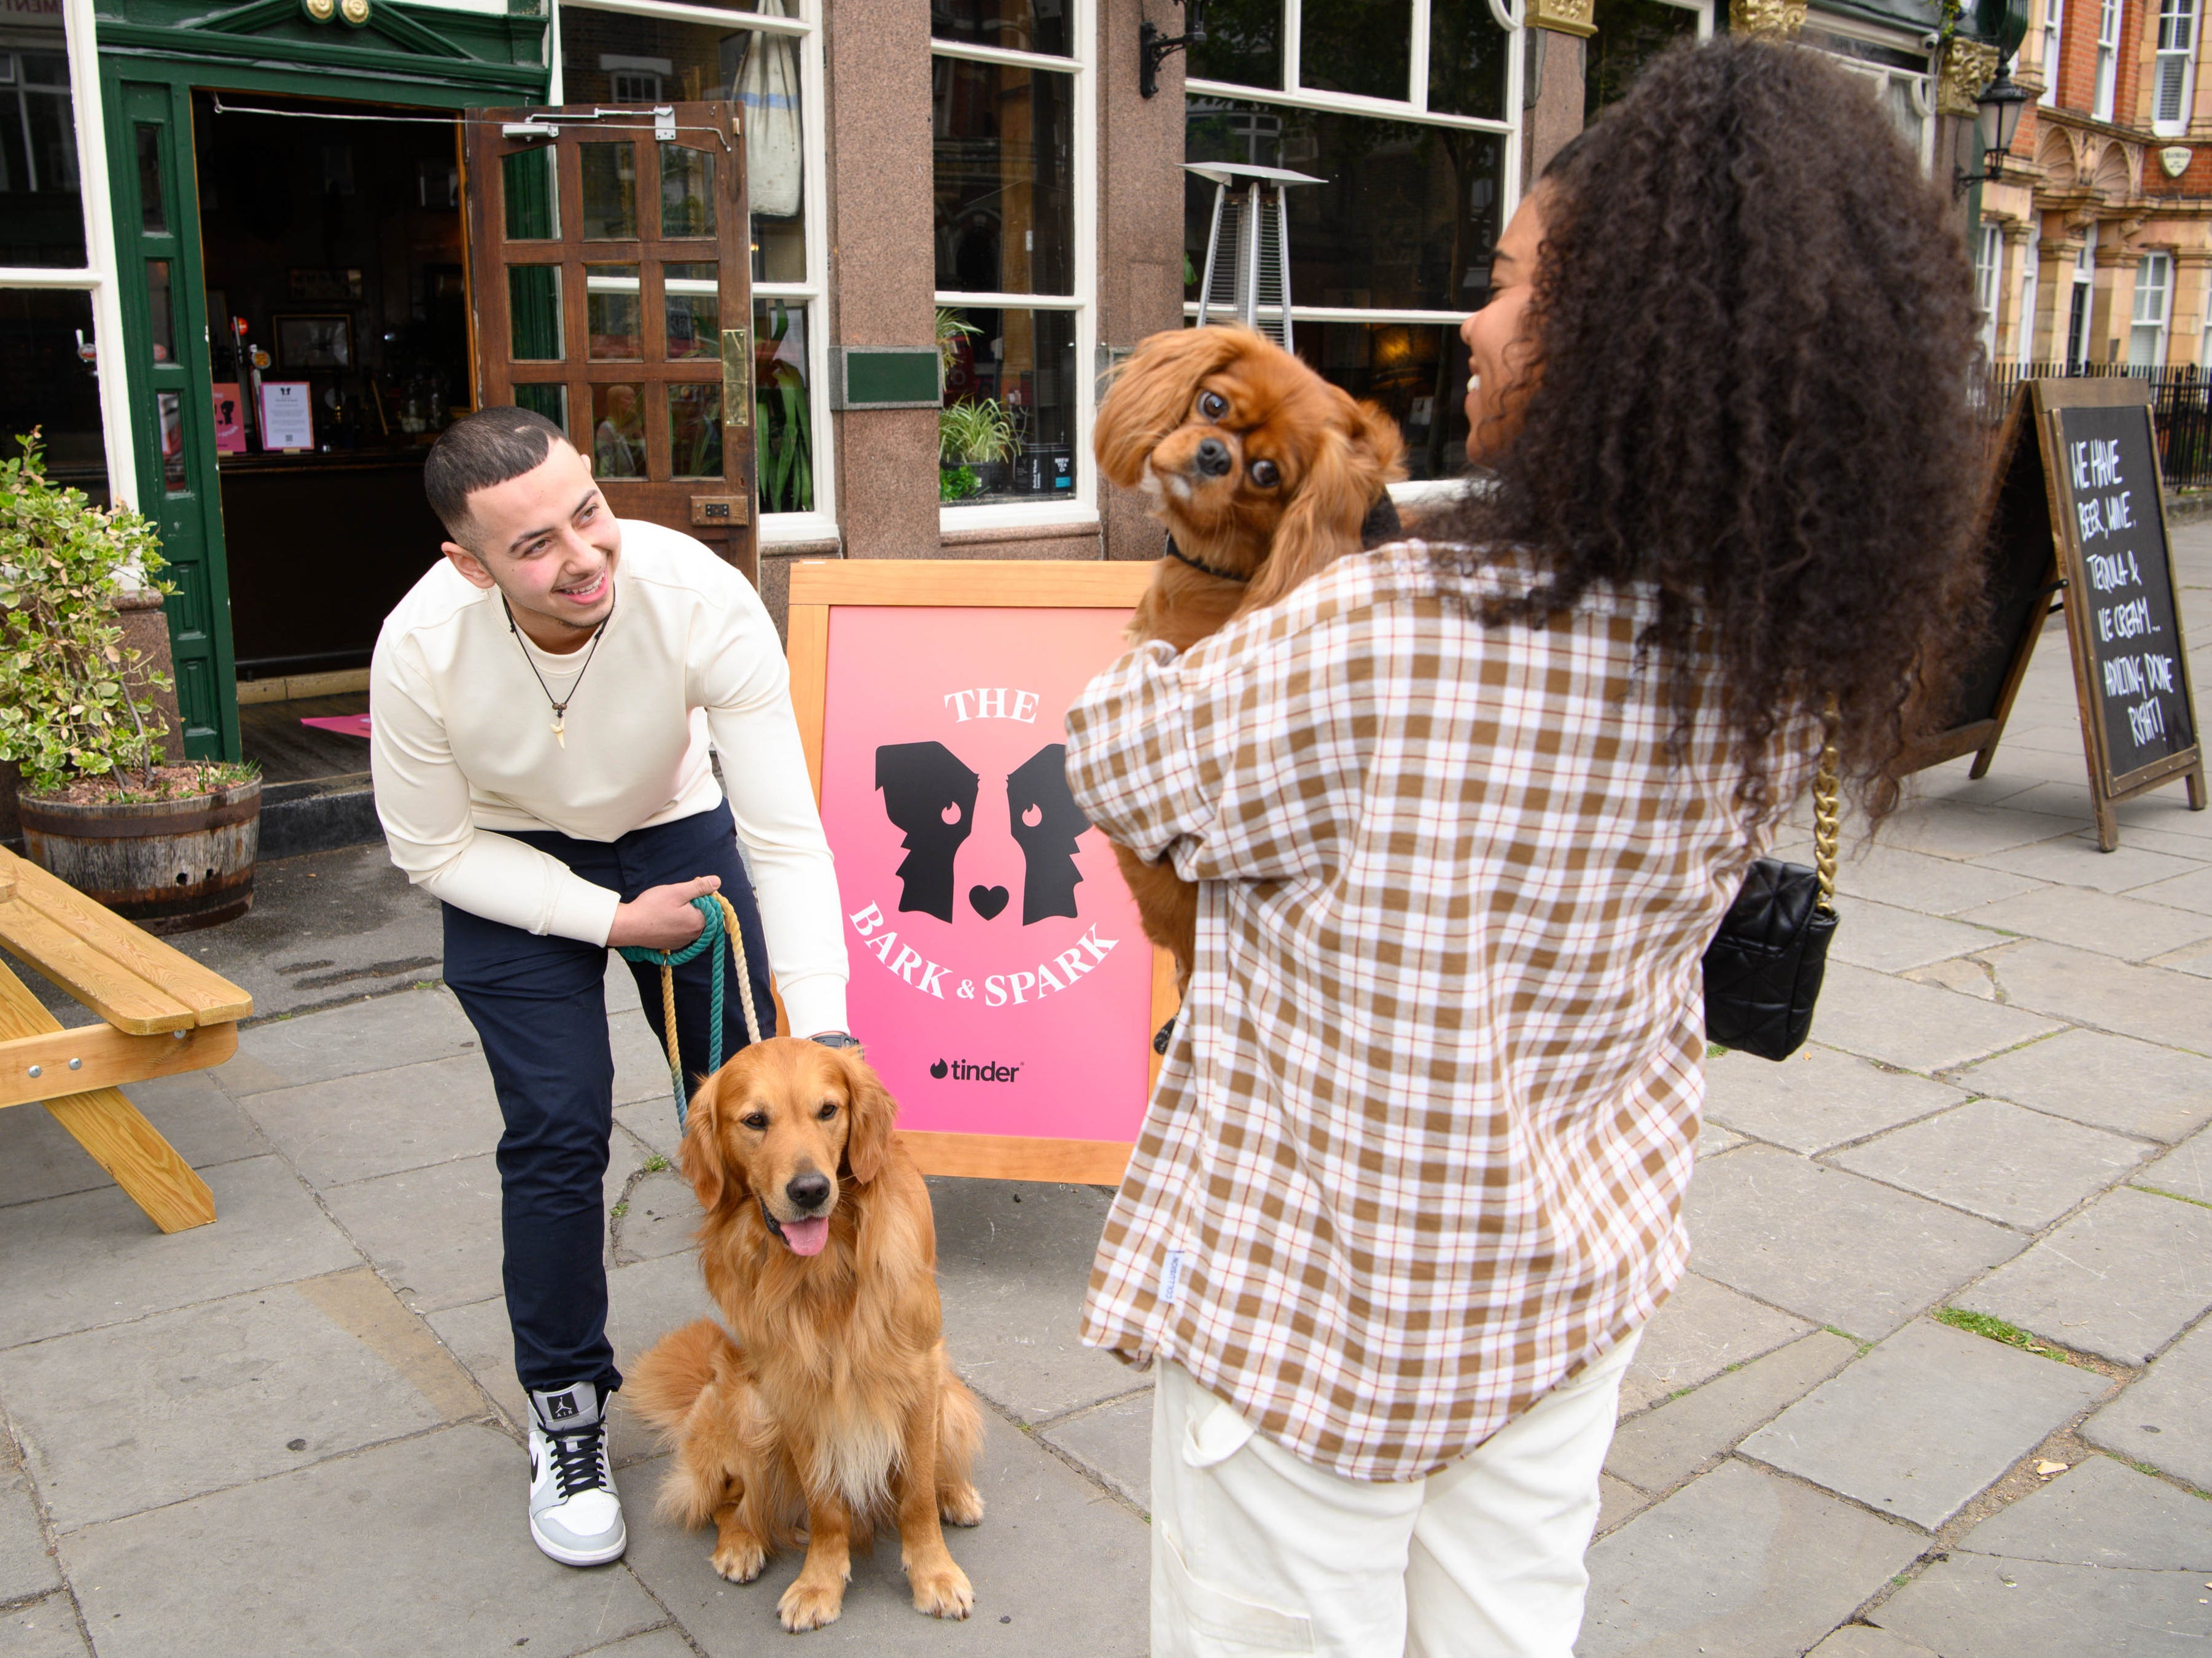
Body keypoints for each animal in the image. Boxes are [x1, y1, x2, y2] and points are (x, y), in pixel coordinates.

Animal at [628, 1039, 982, 1636]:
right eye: (755, 1120)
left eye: (828, 1111)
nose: (811, 1190)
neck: (825, 1270)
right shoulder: (794, 1390)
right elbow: (825, 1506)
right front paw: (819, 1583)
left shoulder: (918, 1371)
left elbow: (914, 1492)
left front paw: (934, 1574)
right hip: (744, 1407)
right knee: (725, 1502)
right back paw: (740, 1544)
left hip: (952, 1395)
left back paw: (956, 1493)